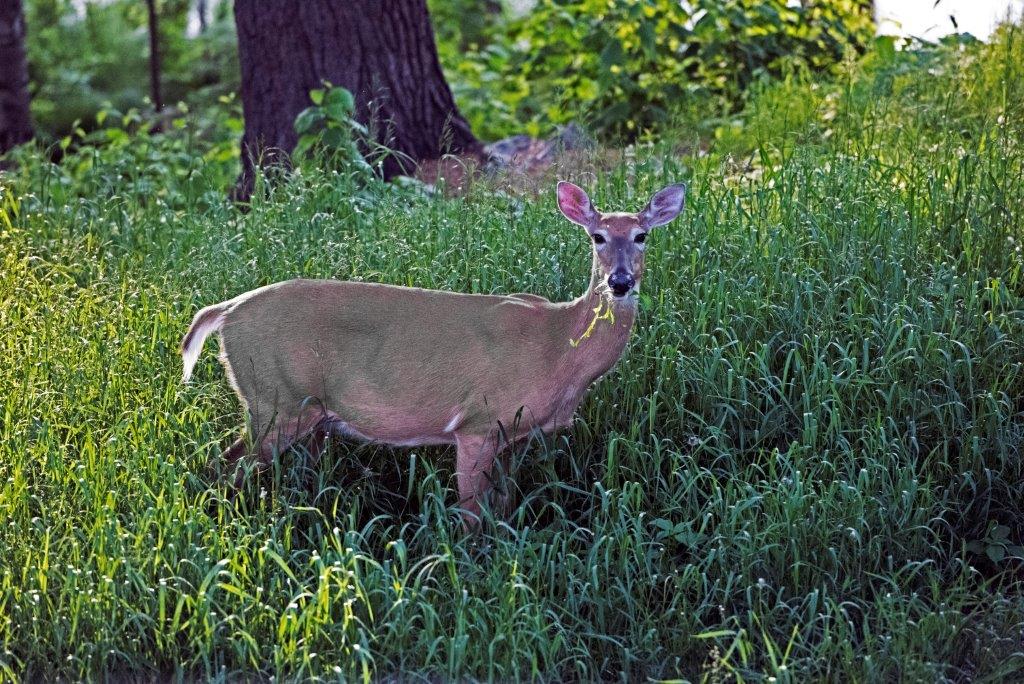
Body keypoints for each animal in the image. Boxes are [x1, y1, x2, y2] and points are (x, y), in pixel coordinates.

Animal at [181, 180, 686, 525]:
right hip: (275, 397)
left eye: (641, 235)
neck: (559, 348)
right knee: (226, 466)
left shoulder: (516, 435)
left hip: (297, 410)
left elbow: (503, 506)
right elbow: (473, 516)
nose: (619, 282)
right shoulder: (479, 421)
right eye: (597, 236)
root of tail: (226, 311)